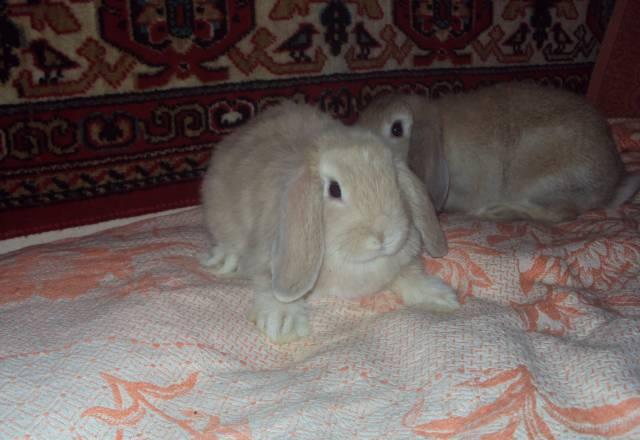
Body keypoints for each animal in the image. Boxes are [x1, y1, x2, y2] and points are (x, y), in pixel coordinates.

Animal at [201, 102, 460, 344]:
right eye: (334, 189)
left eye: (395, 180)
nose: (383, 236)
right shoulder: (265, 259)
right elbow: (269, 286)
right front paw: (284, 323)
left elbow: (409, 275)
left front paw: (441, 297)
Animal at [358, 82, 640, 223]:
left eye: (396, 129)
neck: (439, 131)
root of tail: (614, 183)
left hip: (540, 179)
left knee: (562, 214)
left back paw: (499, 211)